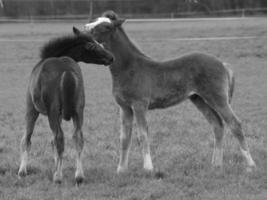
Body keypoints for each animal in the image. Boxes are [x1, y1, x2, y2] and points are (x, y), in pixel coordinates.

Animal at [17, 26, 114, 184]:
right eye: (92, 46)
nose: (111, 57)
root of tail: (67, 71)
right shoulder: (61, 114)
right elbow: (51, 142)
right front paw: (56, 166)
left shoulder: (31, 107)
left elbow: (27, 138)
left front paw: (22, 171)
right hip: (79, 109)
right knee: (77, 137)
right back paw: (79, 176)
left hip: (52, 110)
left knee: (59, 138)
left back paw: (58, 177)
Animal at [85, 10, 258, 173]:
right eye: (94, 20)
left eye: (106, 26)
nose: (85, 29)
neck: (128, 68)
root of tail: (222, 63)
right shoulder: (125, 108)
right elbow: (124, 138)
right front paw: (121, 170)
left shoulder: (139, 105)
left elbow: (142, 135)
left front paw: (148, 168)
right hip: (199, 99)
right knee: (217, 125)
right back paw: (216, 165)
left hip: (217, 98)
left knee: (235, 124)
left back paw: (250, 165)